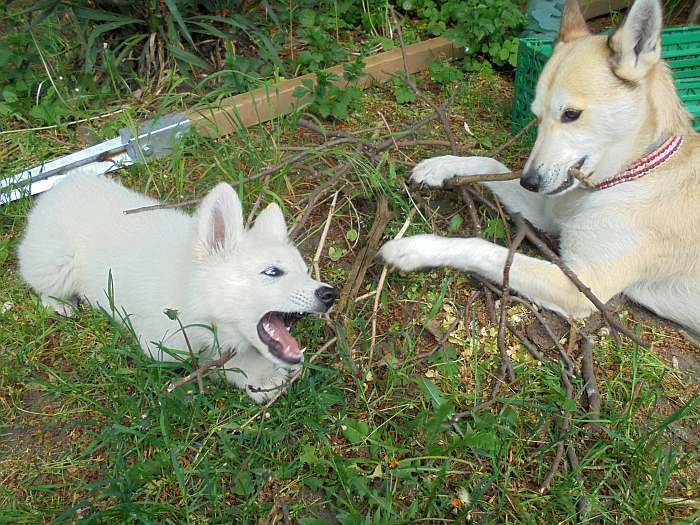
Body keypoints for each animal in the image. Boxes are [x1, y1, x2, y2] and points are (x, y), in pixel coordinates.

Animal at [380, 0, 700, 336]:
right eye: (537, 116)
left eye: (571, 114)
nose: (529, 182)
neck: (633, 172)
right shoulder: (546, 213)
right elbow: (491, 163)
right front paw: (441, 166)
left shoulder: (580, 286)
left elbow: (484, 248)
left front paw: (413, 249)